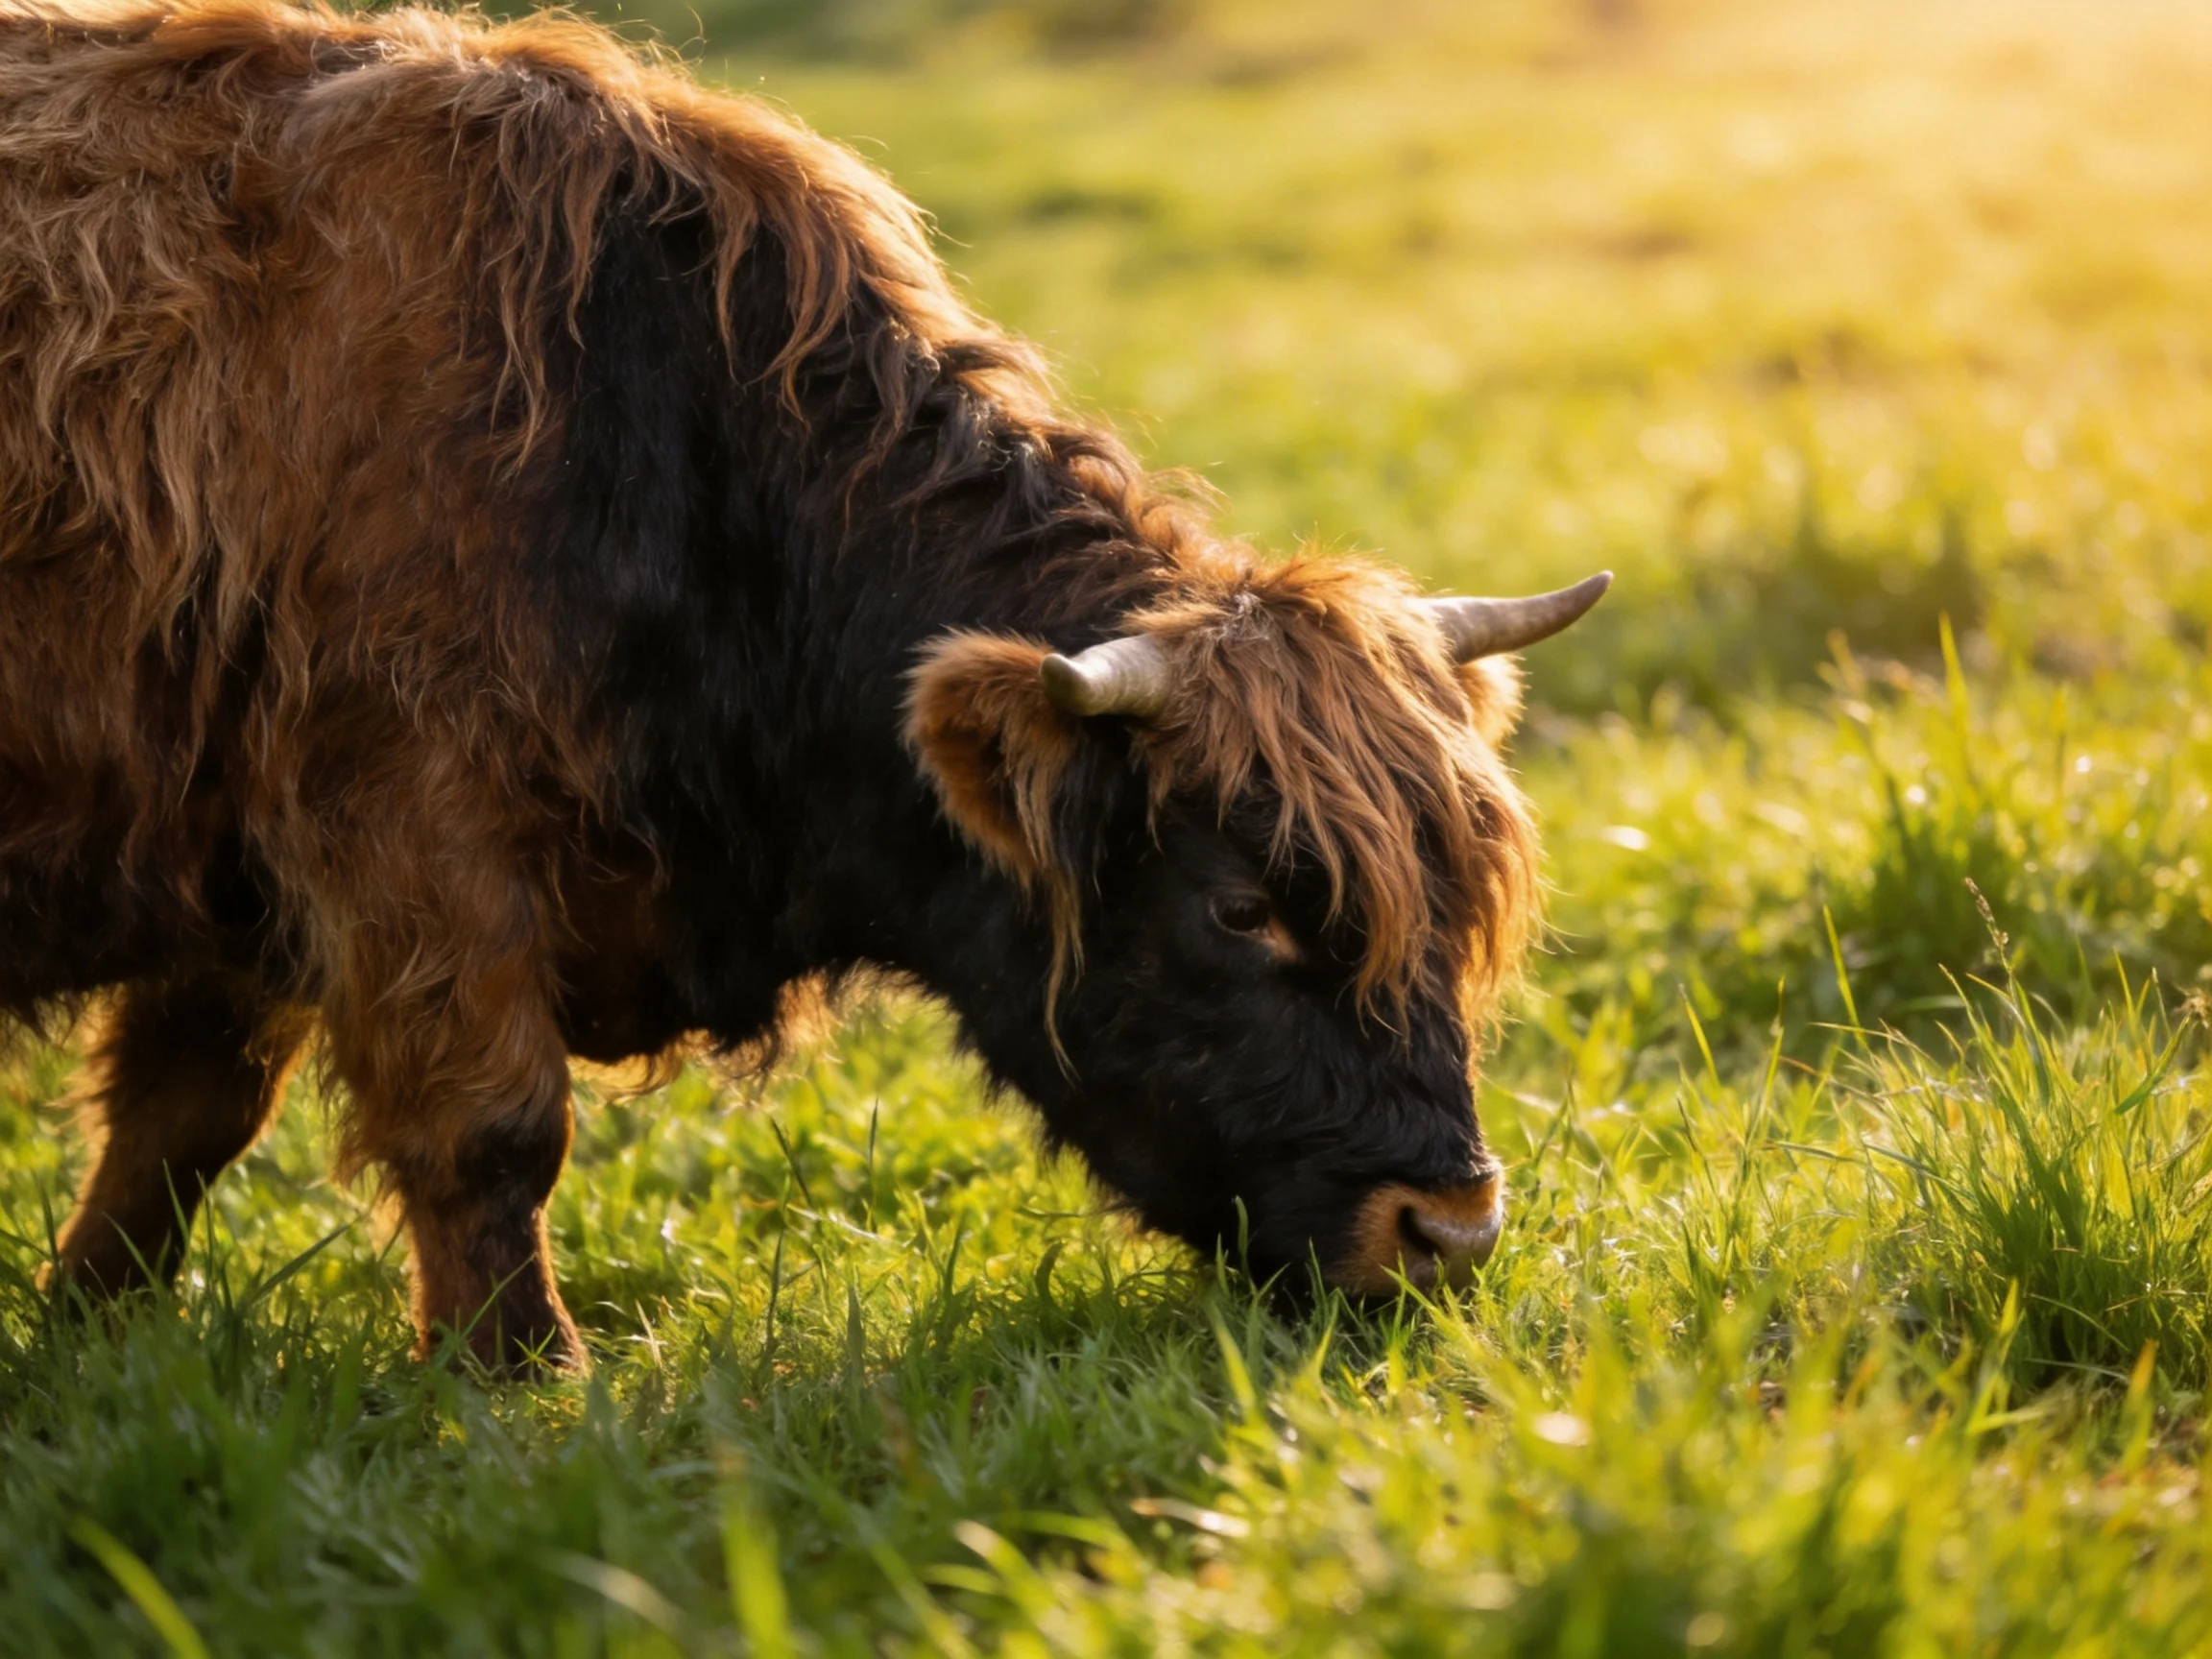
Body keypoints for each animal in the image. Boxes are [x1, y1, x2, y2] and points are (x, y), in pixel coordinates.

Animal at [0, 0, 1608, 1373]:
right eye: (1239, 908)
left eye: (1461, 906)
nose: (1451, 1230)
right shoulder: (402, 822)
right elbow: (489, 1128)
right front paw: (517, 1381)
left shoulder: (237, 864)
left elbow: (179, 1118)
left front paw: (87, 1332)